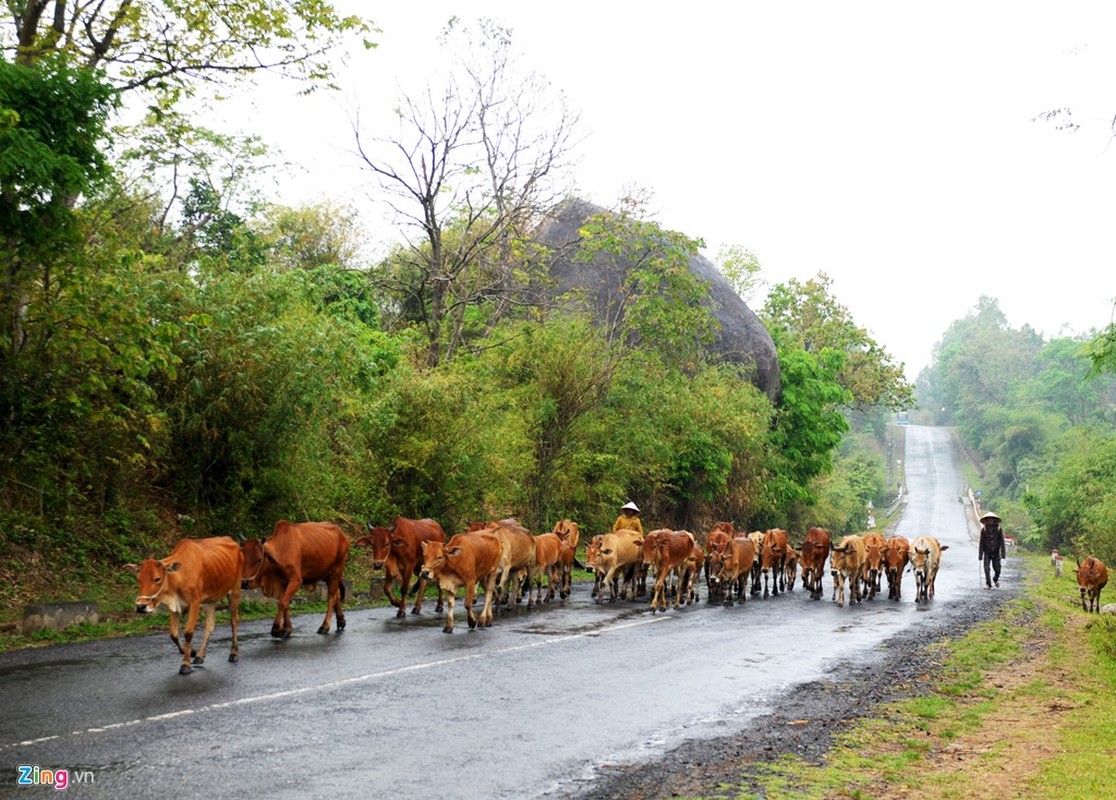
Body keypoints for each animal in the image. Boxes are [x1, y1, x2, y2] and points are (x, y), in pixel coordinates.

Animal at [125, 537, 241, 673]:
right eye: (138, 579)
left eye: (157, 579)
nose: (140, 606)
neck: (180, 576)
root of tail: (231, 540)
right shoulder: (174, 606)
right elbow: (174, 634)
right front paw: (191, 652)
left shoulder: (195, 602)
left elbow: (188, 633)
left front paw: (185, 664)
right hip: (211, 598)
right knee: (210, 625)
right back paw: (200, 656)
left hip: (235, 590)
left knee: (234, 621)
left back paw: (233, 653)